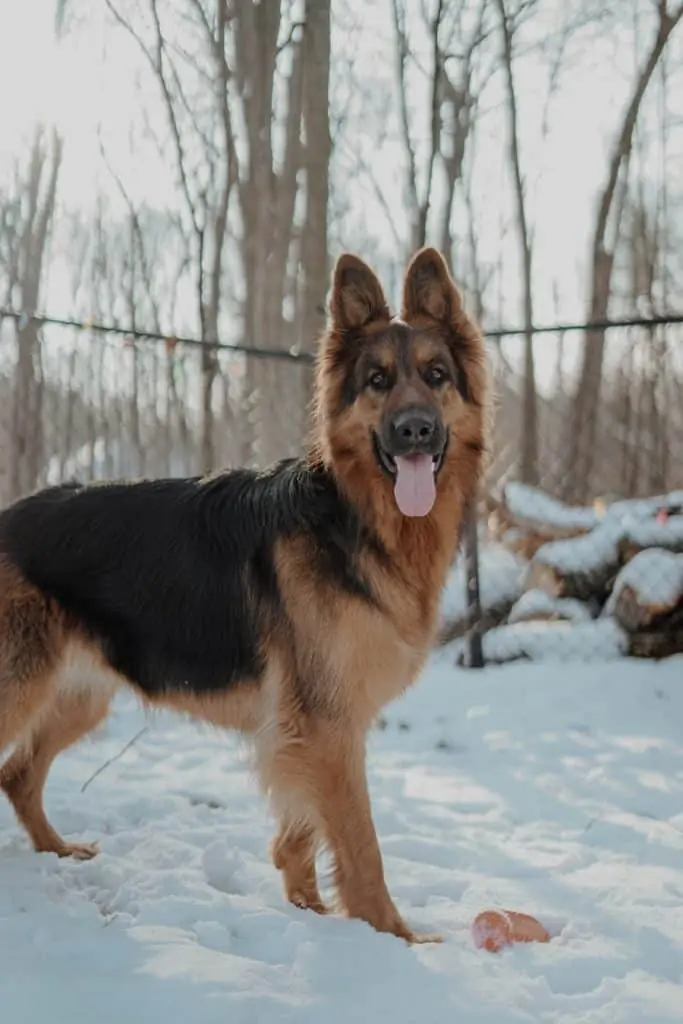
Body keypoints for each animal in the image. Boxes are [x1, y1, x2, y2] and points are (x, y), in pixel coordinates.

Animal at [0, 247, 489, 942]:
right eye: (377, 380)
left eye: (437, 374)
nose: (416, 430)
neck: (352, 520)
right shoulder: (326, 723)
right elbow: (360, 843)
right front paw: (392, 937)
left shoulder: (306, 727)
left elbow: (303, 829)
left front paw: (310, 909)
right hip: (22, 689)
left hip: (77, 696)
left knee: (18, 774)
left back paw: (57, 850)